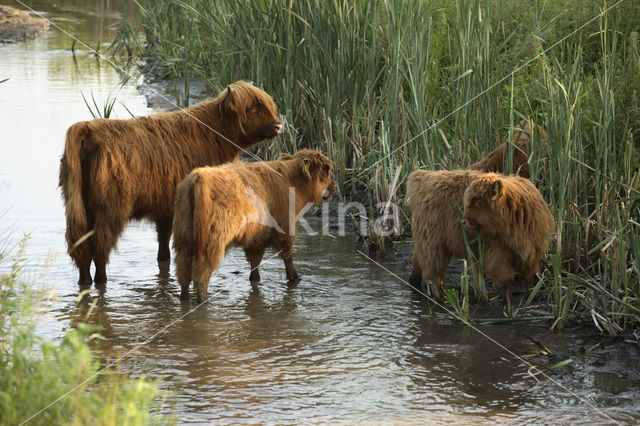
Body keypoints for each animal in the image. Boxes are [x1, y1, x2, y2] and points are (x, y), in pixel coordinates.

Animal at [58, 80, 282, 286]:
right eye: (251, 109)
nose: (278, 125)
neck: (211, 134)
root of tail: (88, 128)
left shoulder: (165, 206)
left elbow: (163, 242)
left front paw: (164, 263)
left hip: (80, 205)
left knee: (80, 245)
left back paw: (85, 282)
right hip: (110, 208)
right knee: (99, 245)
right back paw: (101, 281)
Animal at [172, 150, 338, 302]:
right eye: (325, 171)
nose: (334, 186)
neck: (292, 182)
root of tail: (198, 176)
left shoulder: (256, 237)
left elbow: (255, 262)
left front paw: (255, 280)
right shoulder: (285, 228)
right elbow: (287, 256)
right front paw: (295, 278)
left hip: (183, 239)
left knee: (183, 272)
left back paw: (184, 299)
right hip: (211, 241)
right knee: (201, 274)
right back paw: (203, 301)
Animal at [460, 173, 556, 302]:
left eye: (480, 202)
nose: (464, 221)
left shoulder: (534, 251)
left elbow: (531, 275)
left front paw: (531, 296)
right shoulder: (498, 252)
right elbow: (505, 277)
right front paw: (508, 301)